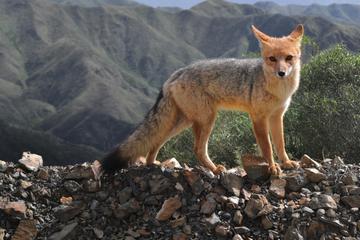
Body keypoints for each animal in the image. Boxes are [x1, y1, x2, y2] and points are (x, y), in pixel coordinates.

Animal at [101, 24, 304, 176]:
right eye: (272, 59)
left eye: (289, 58)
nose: (281, 73)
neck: (279, 91)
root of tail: (176, 73)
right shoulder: (258, 118)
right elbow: (267, 147)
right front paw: (272, 167)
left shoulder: (277, 116)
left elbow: (280, 143)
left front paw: (286, 162)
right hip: (206, 119)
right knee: (198, 149)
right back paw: (214, 169)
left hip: (183, 122)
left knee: (157, 140)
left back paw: (153, 163)